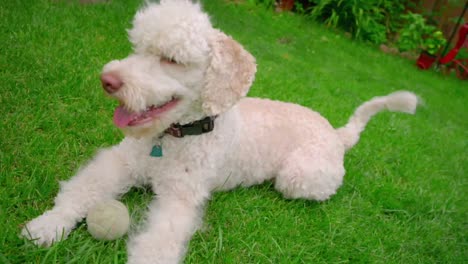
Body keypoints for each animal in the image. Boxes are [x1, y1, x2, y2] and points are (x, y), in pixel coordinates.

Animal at [22, 1, 418, 262]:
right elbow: (82, 189)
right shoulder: (120, 164)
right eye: (138, 48)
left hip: (298, 177)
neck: (175, 137)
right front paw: (48, 226)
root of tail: (337, 135)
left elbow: (157, 243)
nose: (108, 81)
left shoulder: (180, 199)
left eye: (172, 59)